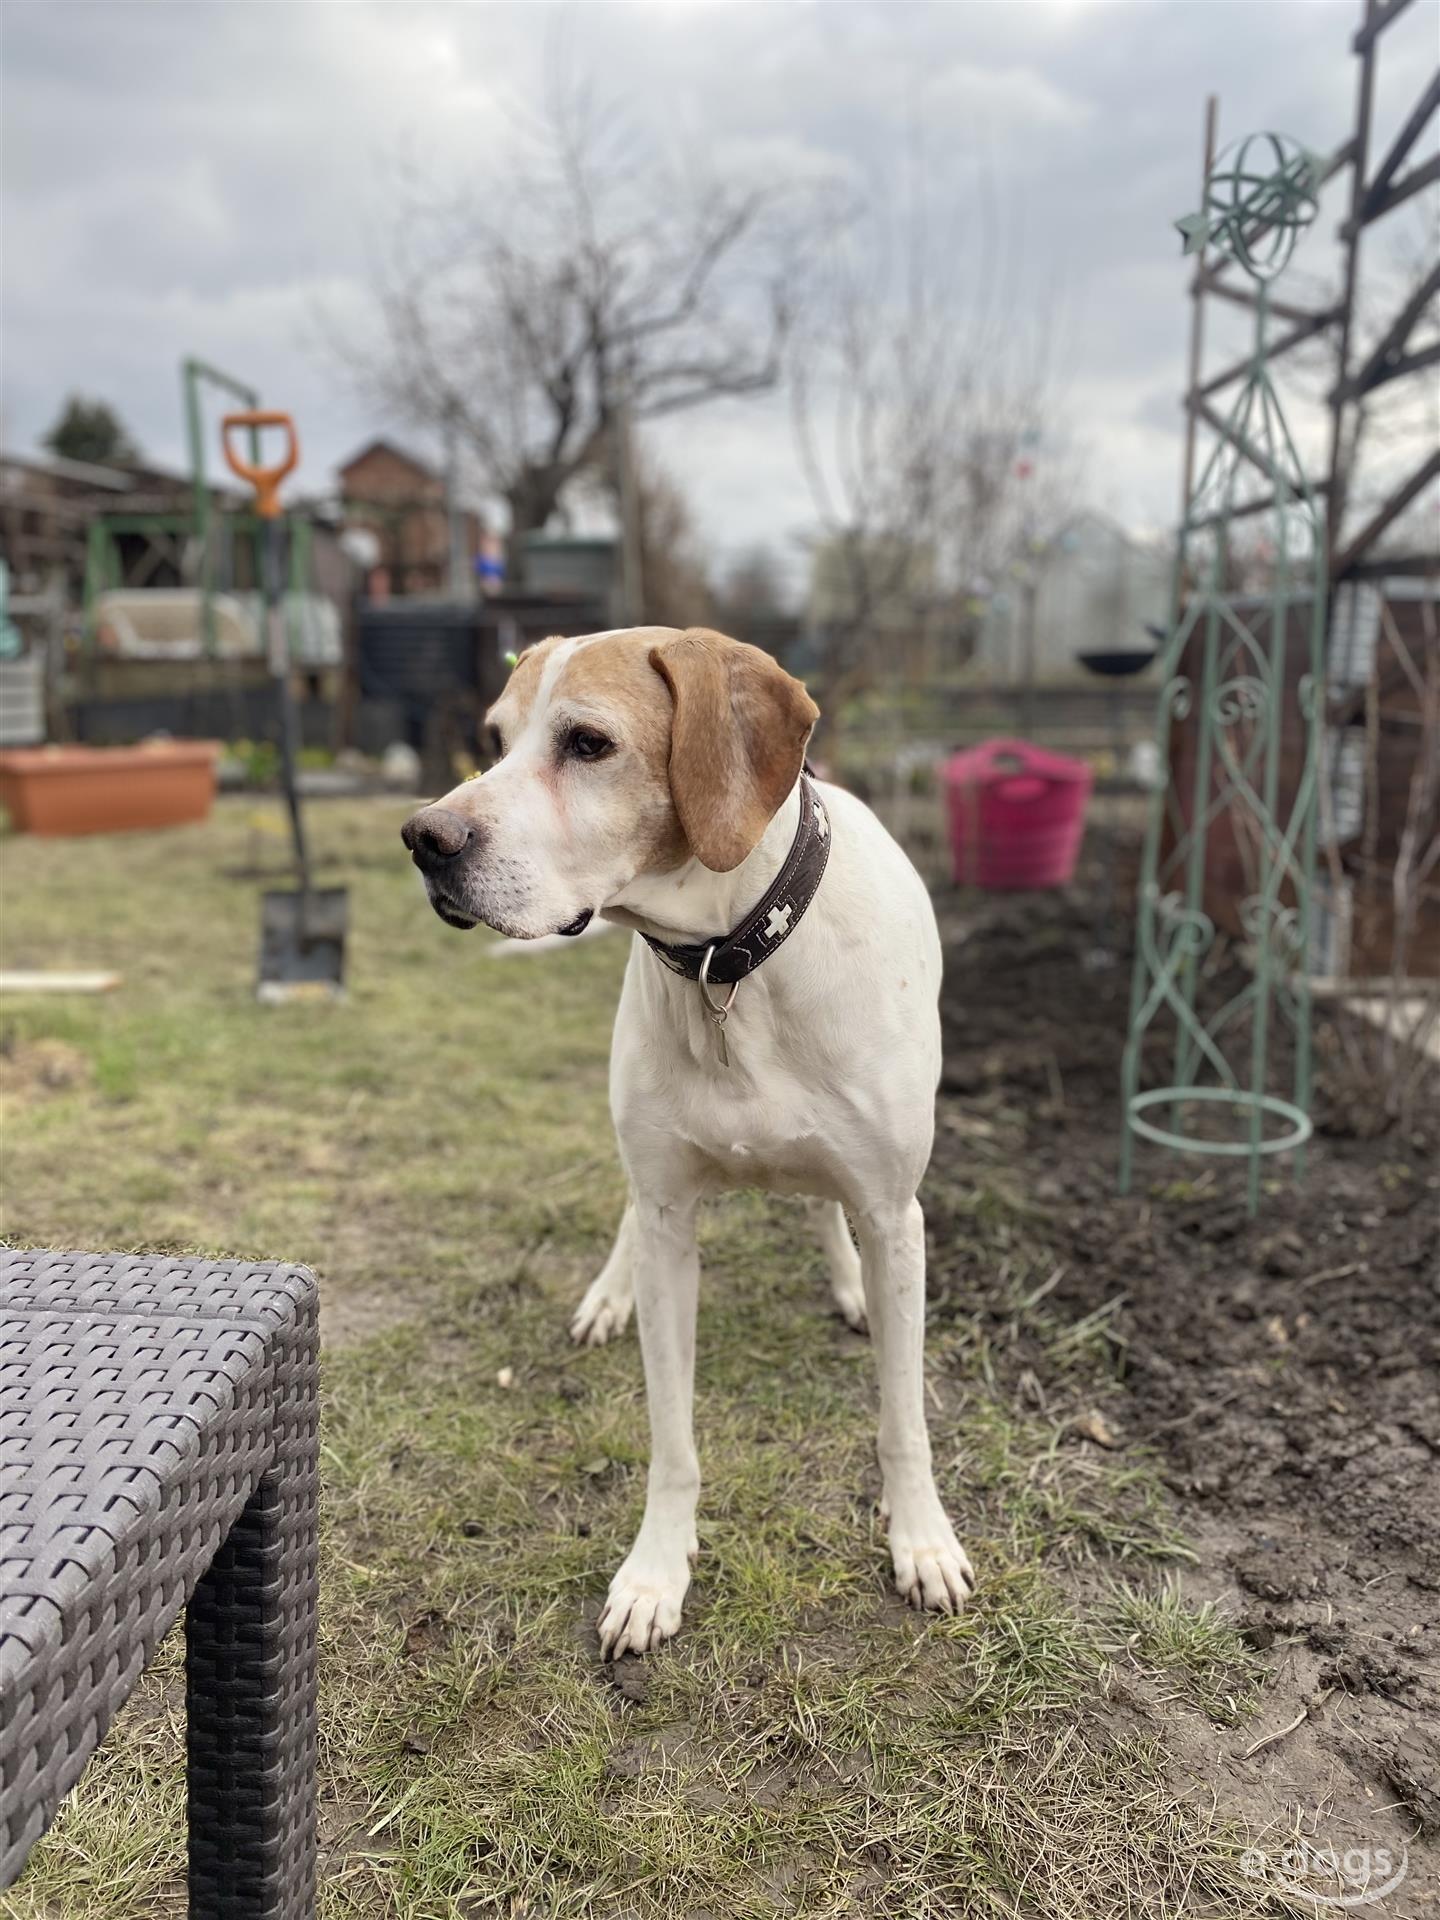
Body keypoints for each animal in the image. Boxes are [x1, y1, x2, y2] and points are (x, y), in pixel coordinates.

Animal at [401, 625, 975, 1651]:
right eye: (496, 741)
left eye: (589, 743)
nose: (426, 838)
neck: (729, 962)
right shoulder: (670, 1219)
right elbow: (672, 1436)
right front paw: (656, 1571)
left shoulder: (893, 1212)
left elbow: (903, 1419)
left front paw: (921, 1540)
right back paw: (608, 1294)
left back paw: (847, 1284)